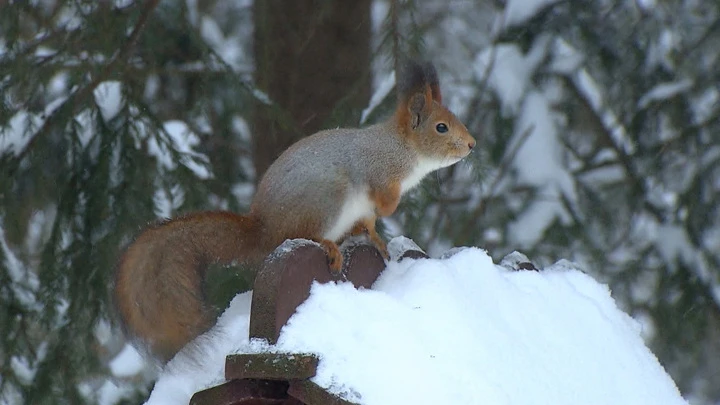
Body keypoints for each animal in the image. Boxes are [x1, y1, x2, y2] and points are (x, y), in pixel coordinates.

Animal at [114, 58, 472, 362]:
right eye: (441, 127)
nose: (472, 145)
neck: (403, 148)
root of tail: (263, 229)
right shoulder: (379, 174)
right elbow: (382, 201)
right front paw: (390, 210)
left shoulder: (366, 208)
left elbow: (370, 224)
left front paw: (378, 242)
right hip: (329, 197)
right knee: (306, 234)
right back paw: (328, 246)